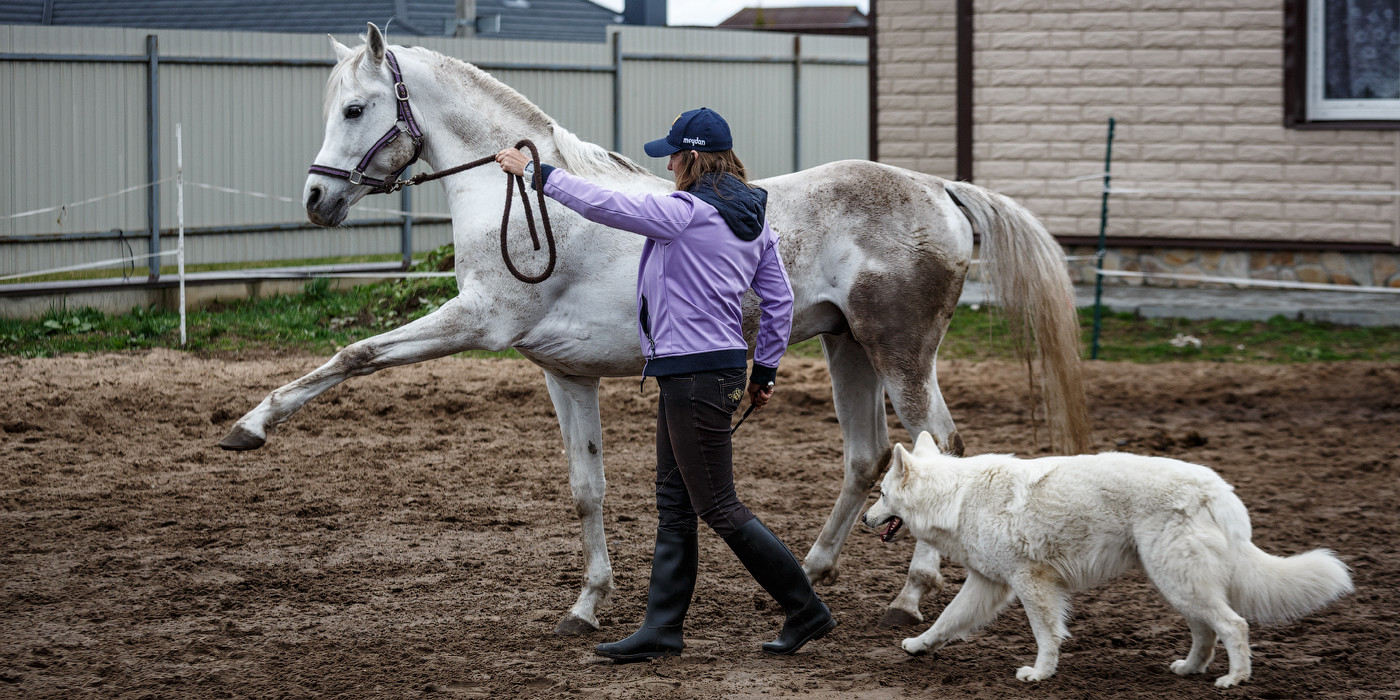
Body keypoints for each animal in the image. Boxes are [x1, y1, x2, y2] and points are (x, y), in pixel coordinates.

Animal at [221, 23, 1092, 635]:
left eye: (356, 109)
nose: (317, 200)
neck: (531, 207)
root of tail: (939, 190)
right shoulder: (563, 374)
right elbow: (587, 489)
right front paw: (587, 604)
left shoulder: (476, 322)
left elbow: (354, 353)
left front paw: (250, 426)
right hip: (847, 348)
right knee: (867, 457)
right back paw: (814, 569)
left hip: (901, 353)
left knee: (939, 446)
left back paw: (912, 595)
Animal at [856, 431, 1349, 688]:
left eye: (881, 493)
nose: (864, 519)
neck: (954, 497)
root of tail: (1217, 489)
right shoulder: (988, 585)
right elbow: (947, 621)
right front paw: (918, 645)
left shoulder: (1030, 584)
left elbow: (1046, 634)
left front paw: (1039, 673)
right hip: (1177, 584)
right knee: (1207, 630)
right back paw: (1190, 669)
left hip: (1180, 581)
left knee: (1235, 625)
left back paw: (1234, 679)